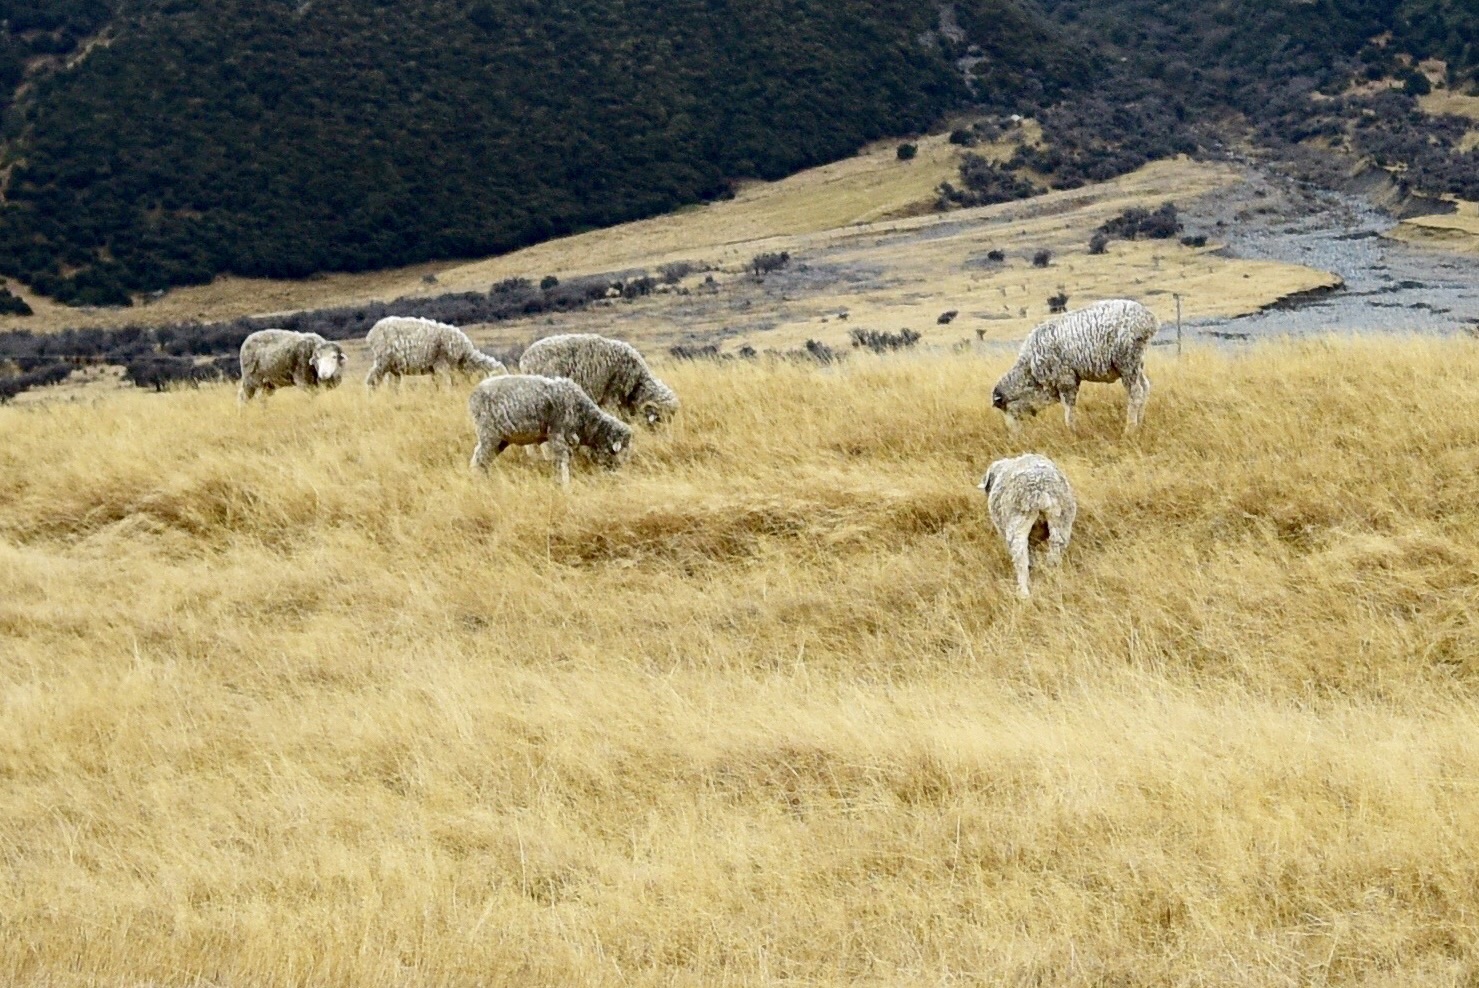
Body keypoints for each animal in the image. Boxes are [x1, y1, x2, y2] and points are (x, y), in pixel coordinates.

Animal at [365, 315, 505, 387]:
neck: (465, 356)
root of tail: (372, 332)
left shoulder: (435, 368)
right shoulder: (441, 364)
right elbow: (446, 384)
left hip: (393, 366)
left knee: (393, 384)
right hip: (383, 359)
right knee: (373, 379)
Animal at [470, 374, 633, 491]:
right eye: (617, 452)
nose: (615, 473)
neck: (585, 419)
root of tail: (474, 395)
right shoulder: (558, 435)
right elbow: (562, 462)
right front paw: (565, 486)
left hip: (501, 440)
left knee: (484, 460)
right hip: (489, 434)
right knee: (478, 459)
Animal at [982, 452, 1076, 597]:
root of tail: (1040, 490)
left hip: (1018, 521)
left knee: (1020, 557)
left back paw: (1023, 592)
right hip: (1062, 519)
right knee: (1056, 548)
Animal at [987, 298, 1159, 434]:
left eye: (1004, 407)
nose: (1013, 435)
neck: (1029, 370)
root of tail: (1149, 319)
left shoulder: (1065, 380)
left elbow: (1069, 409)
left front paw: (1071, 431)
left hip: (1127, 361)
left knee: (1136, 393)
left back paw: (1130, 429)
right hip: (1137, 363)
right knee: (1145, 387)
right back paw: (1140, 424)